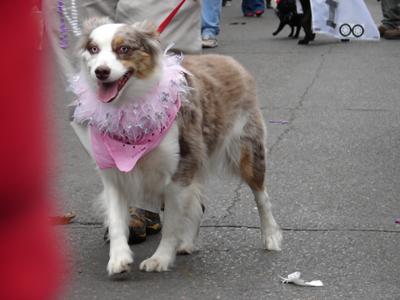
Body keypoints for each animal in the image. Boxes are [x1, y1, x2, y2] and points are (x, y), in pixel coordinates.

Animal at [72, 16, 282, 276]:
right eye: (93, 49)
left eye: (124, 49)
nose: (101, 72)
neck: (130, 110)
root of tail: (231, 62)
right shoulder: (114, 175)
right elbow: (117, 220)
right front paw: (119, 258)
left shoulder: (180, 171)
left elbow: (171, 225)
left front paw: (160, 258)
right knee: (199, 205)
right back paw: (188, 243)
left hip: (248, 151)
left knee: (262, 196)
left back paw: (271, 236)